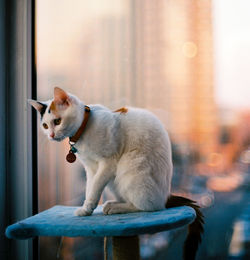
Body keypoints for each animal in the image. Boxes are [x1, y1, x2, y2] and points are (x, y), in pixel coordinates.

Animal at [29, 87, 204, 260]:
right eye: (45, 125)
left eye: (57, 121)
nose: (51, 135)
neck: (84, 129)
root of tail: (167, 196)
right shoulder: (91, 168)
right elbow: (90, 189)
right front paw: (87, 208)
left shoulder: (108, 163)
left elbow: (94, 189)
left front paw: (86, 210)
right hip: (116, 183)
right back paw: (113, 204)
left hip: (129, 170)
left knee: (150, 207)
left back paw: (115, 208)